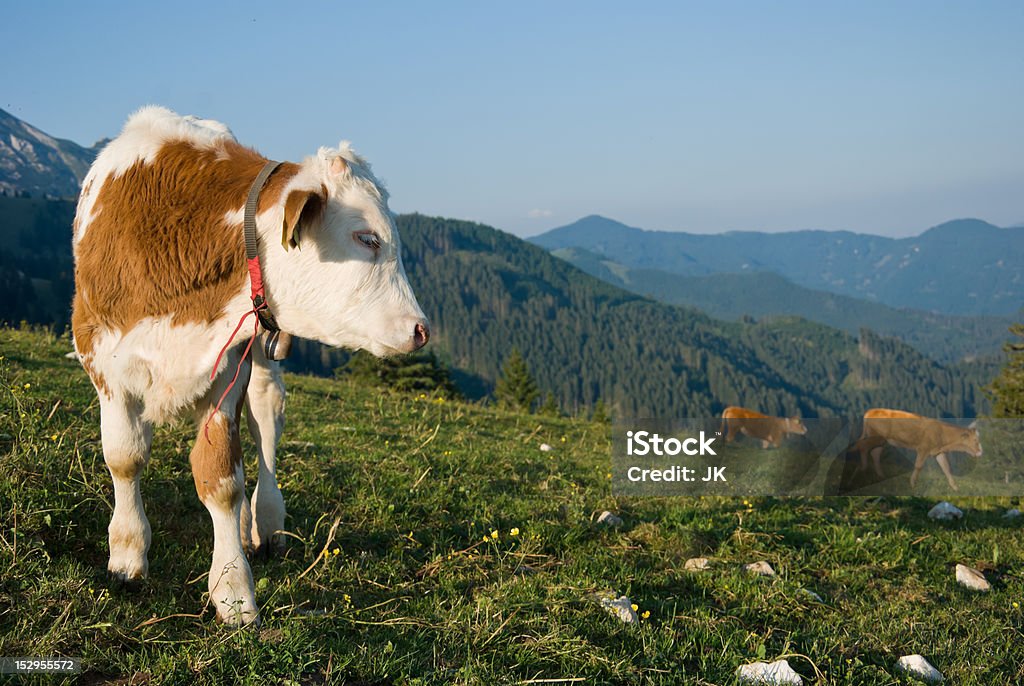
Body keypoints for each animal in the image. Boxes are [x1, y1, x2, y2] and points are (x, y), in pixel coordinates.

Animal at [70, 104, 425, 626]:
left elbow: (221, 479)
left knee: (266, 422)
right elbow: (125, 457)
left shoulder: (228, 370)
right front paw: (128, 555)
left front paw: (233, 590)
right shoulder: (102, 358)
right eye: (366, 237)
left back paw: (265, 523)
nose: (421, 329)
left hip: (262, 359)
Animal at [847, 409, 983, 495]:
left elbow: (946, 468)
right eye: (975, 440)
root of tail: (870, 411)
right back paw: (860, 469)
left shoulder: (938, 452)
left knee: (874, 453)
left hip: (881, 441)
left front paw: (956, 488)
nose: (981, 452)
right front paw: (912, 485)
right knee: (863, 446)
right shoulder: (923, 449)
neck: (943, 434)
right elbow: (918, 466)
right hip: (876, 437)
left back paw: (881, 476)